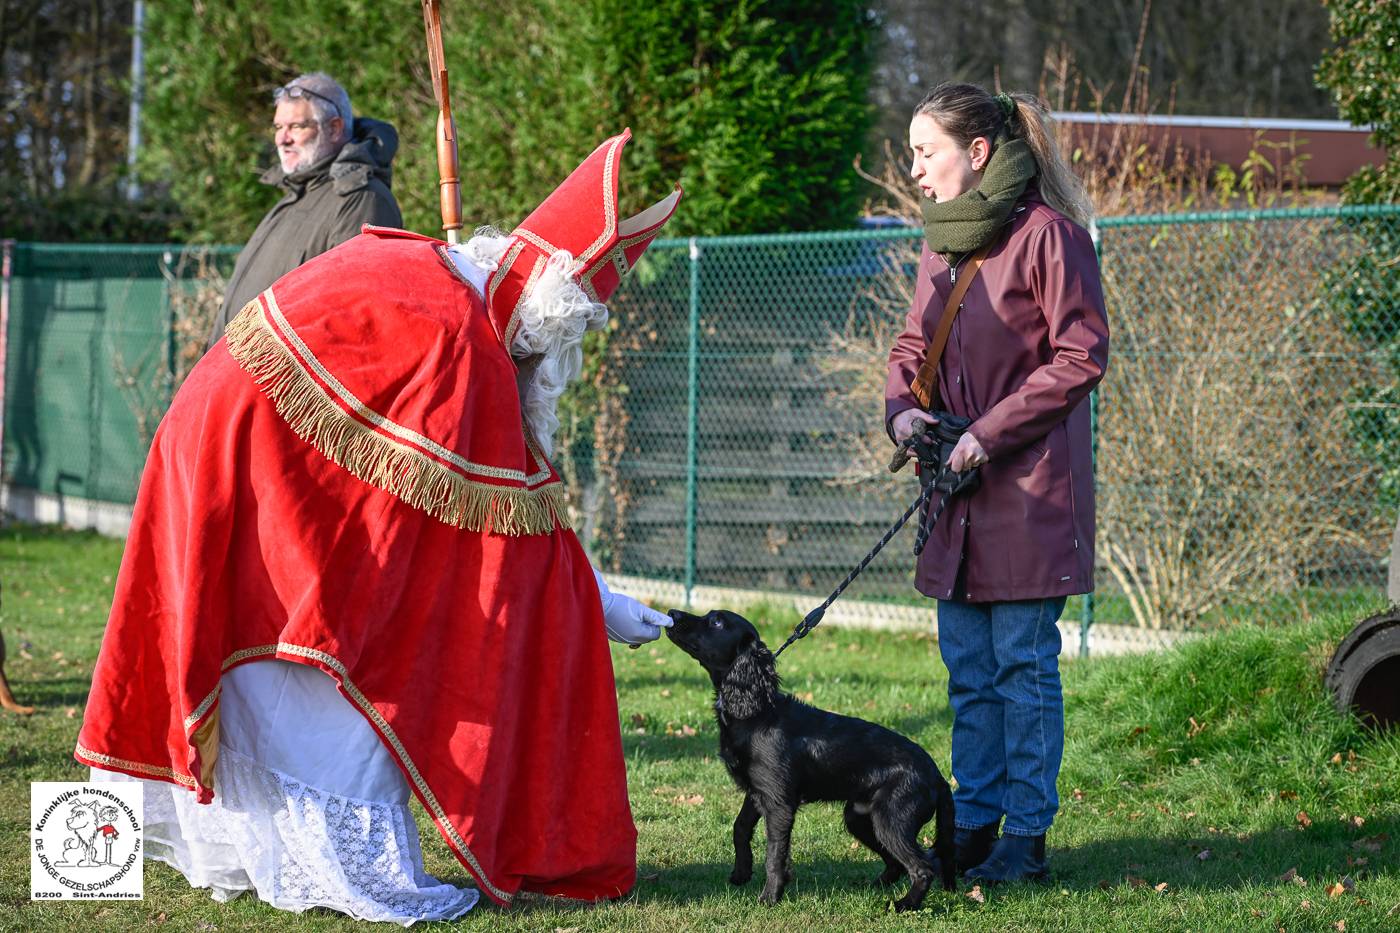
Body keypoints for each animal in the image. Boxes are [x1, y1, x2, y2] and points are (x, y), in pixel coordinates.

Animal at [663, 607, 952, 902]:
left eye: (717, 621)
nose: (672, 612)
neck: (757, 711)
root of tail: (938, 776)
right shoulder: (756, 792)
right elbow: (740, 829)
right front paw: (741, 874)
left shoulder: (779, 803)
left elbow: (774, 854)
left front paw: (770, 897)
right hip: (860, 817)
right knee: (897, 863)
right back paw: (873, 888)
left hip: (890, 820)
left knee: (922, 867)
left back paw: (904, 905)